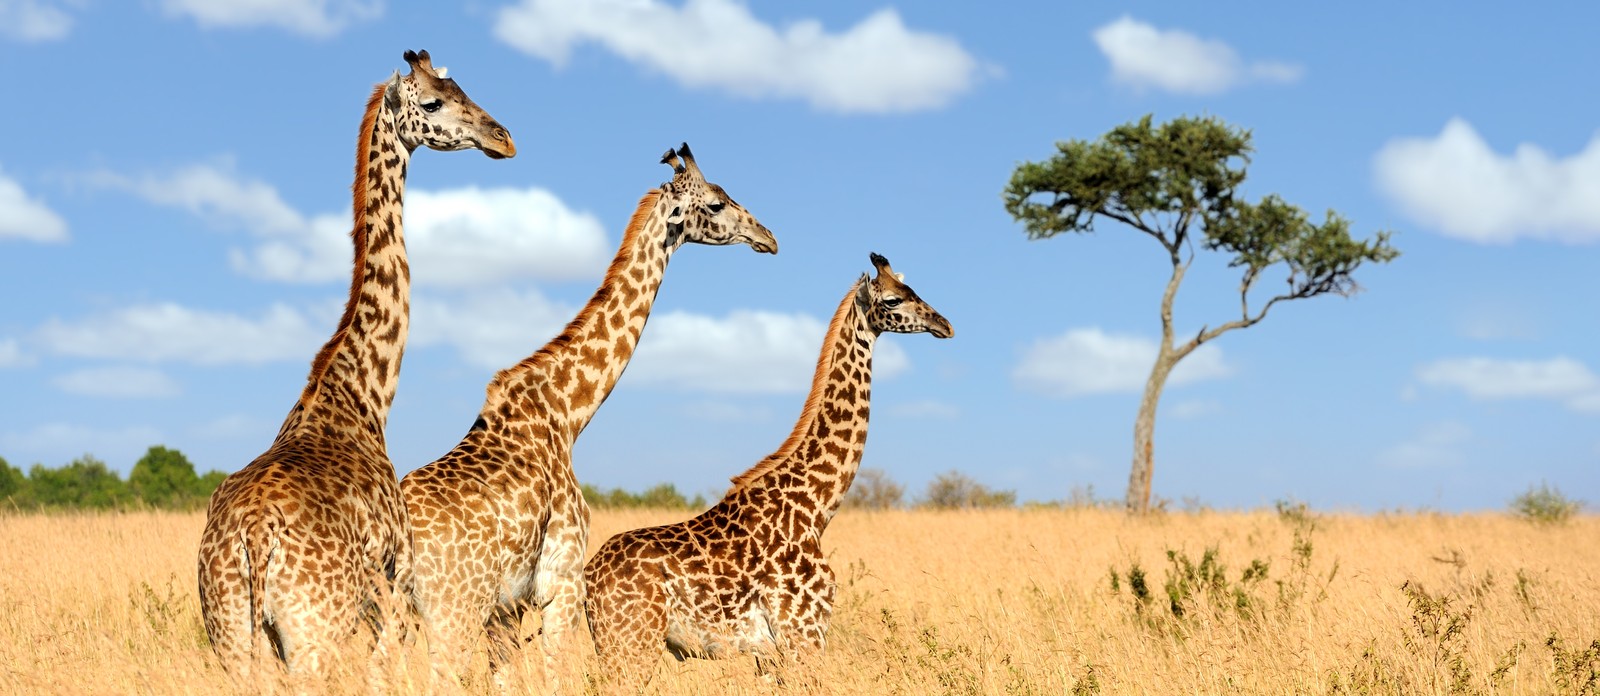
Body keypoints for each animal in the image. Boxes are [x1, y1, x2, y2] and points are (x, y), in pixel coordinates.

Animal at [196, 50, 514, 680]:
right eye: (434, 102)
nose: (504, 139)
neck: (363, 392)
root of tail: (254, 536)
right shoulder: (397, 583)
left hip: (231, 633)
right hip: (312, 633)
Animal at [400, 143, 777, 684]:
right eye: (718, 202)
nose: (768, 238)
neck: (567, 413)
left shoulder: (508, 608)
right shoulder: (561, 584)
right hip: (452, 610)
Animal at [582, 252, 953, 685]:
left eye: (913, 289)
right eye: (894, 299)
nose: (944, 324)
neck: (816, 506)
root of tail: (587, 578)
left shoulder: (770, 653)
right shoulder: (803, 632)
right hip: (631, 643)